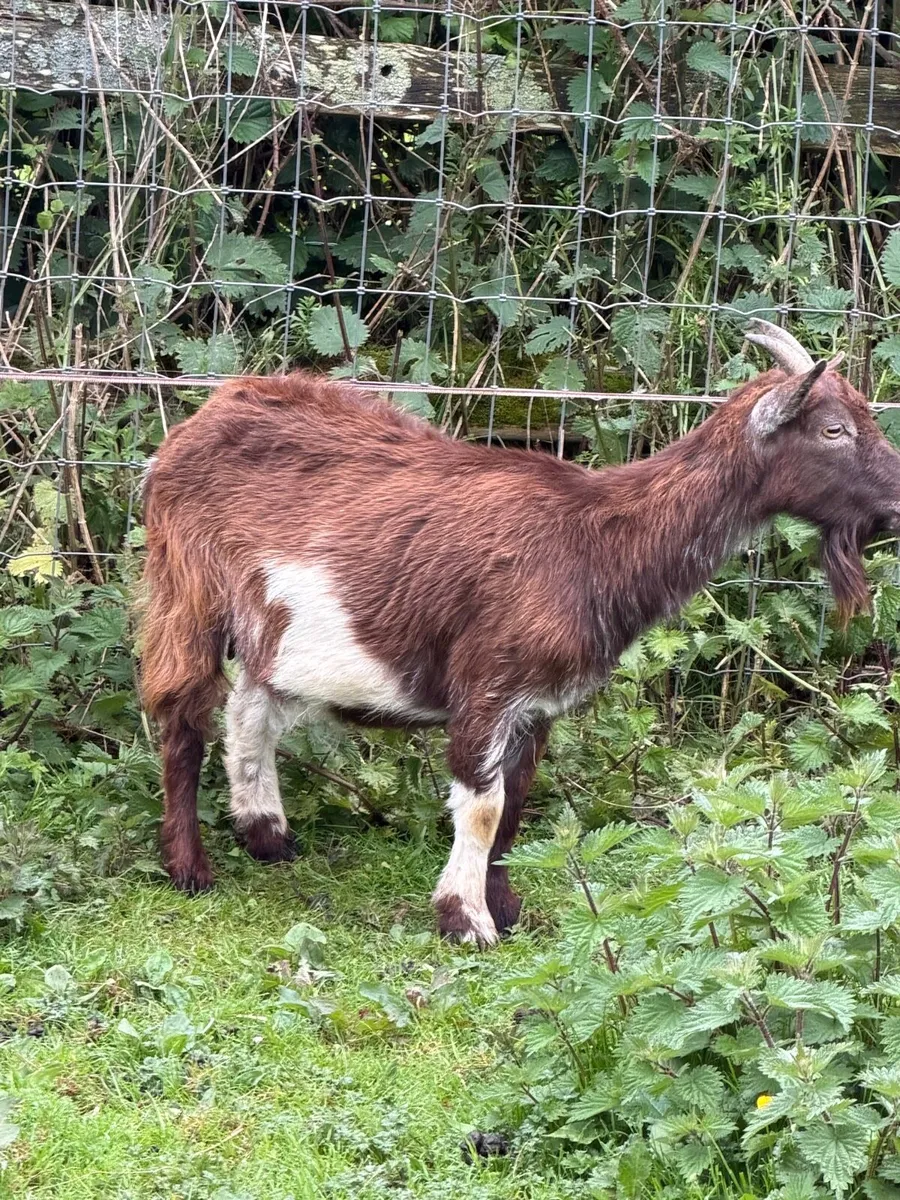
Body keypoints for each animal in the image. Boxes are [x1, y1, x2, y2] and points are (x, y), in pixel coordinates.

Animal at [139, 320, 900, 945]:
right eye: (833, 431)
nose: (896, 503)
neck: (596, 540)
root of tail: (207, 414)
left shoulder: (537, 705)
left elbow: (515, 805)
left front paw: (504, 908)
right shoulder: (489, 684)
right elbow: (482, 806)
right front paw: (465, 921)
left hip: (272, 623)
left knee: (252, 707)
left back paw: (267, 834)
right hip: (186, 585)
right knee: (183, 716)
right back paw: (190, 868)